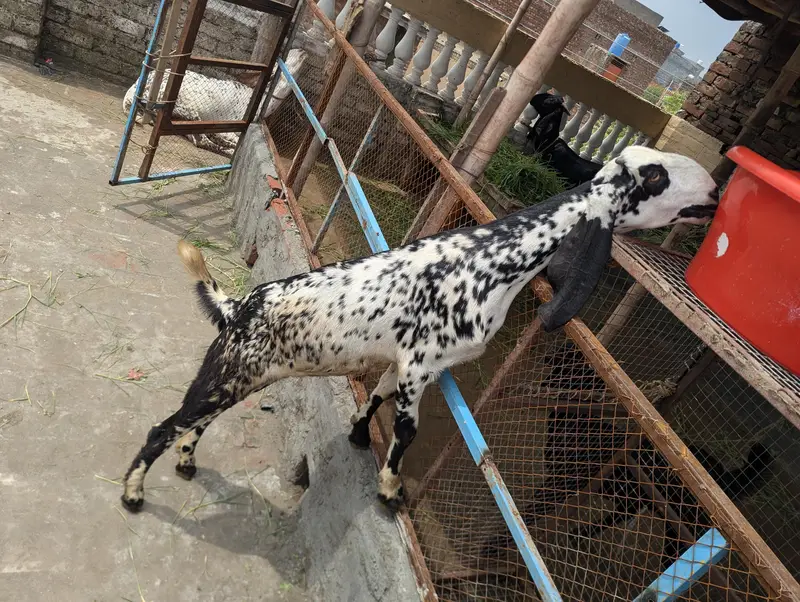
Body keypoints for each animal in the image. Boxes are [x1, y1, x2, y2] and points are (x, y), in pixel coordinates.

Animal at [119, 146, 719, 513]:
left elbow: (375, 398)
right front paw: (389, 489)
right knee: (162, 427)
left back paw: (187, 464)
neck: (491, 259)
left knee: (195, 423)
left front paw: (357, 437)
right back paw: (132, 494)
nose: (714, 191)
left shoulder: (404, 362)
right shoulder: (419, 363)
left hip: (241, 375)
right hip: (227, 371)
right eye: (656, 177)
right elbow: (406, 429)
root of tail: (237, 304)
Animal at [122, 49, 306, 157]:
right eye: (285, 58)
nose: (300, 49)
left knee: (199, 139)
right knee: (203, 139)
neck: (260, 102)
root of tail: (134, 90)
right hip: (186, 110)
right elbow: (231, 135)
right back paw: (229, 150)